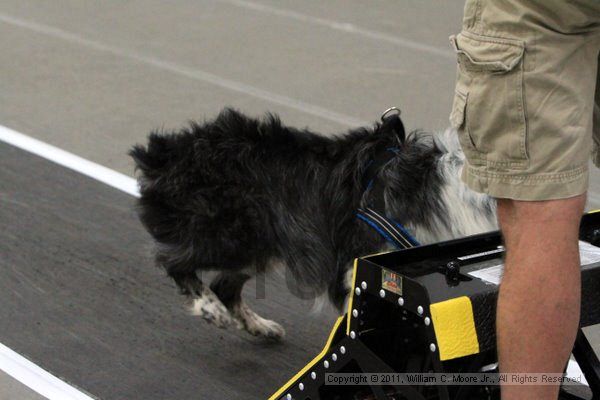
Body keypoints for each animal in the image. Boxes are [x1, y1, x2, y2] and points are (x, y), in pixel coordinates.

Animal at [130, 108, 496, 340]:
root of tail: (165, 153)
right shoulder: (354, 267)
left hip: (263, 243)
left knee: (224, 285)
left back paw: (260, 327)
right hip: (234, 236)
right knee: (173, 262)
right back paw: (210, 309)